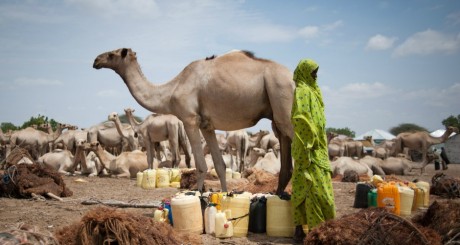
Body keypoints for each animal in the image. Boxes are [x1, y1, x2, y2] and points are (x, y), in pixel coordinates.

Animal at [93, 47, 294, 193]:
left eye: (112, 54)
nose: (96, 60)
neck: (171, 91)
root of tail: (294, 78)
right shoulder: (207, 125)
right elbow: (220, 165)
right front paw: (224, 196)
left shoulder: (190, 119)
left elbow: (201, 165)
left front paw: (199, 196)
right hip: (277, 118)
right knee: (286, 162)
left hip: (283, 100)